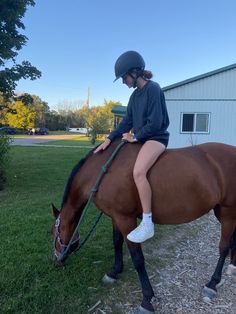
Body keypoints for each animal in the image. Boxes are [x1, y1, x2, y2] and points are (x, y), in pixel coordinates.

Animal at [52, 140, 236, 314]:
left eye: (54, 231)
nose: (56, 261)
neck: (102, 170)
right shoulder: (115, 217)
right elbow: (117, 242)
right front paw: (114, 272)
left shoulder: (126, 219)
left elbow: (137, 258)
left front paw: (147, 299)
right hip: (221, 210)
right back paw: (232, 267)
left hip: (228, 210)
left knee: (224, 247)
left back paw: (212, 283)